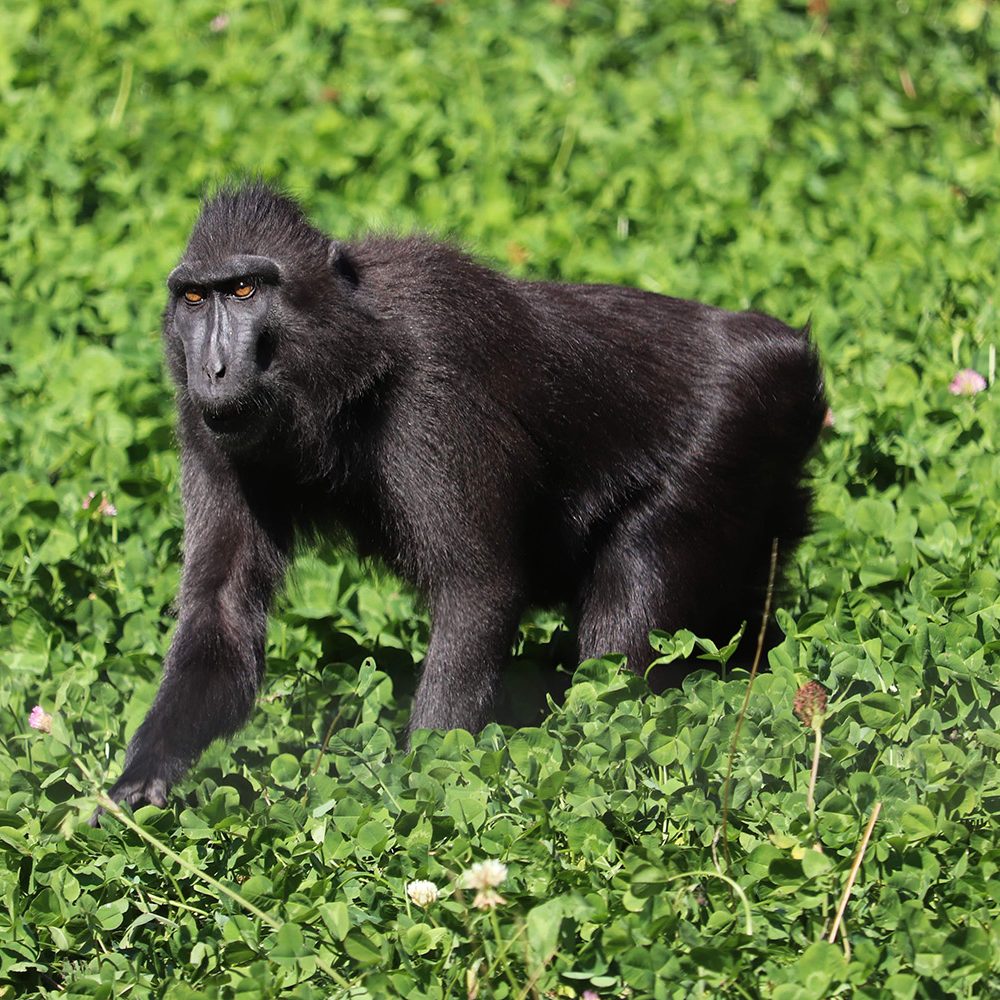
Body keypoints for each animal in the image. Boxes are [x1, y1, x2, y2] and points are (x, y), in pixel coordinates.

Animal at [105, 184, 828, 808]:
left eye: (245, 289)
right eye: (194, 298)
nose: (213, 369)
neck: (348, 360)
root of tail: (788, 352)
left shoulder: (434, 376)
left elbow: (475, 589)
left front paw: (414, 794)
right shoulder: (204, 428)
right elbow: (222, 611)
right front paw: (140, 781)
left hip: (728, 436)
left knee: (630, 608)